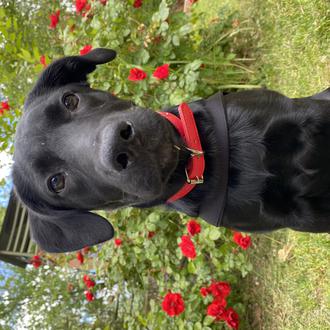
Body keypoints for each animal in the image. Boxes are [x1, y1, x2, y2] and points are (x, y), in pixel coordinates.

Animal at [12, 47, 330, 251]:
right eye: (56, 182)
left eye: (70, 100)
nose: (120, 142)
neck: (216, 161)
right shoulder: (303, 217)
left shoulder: (307, 116)